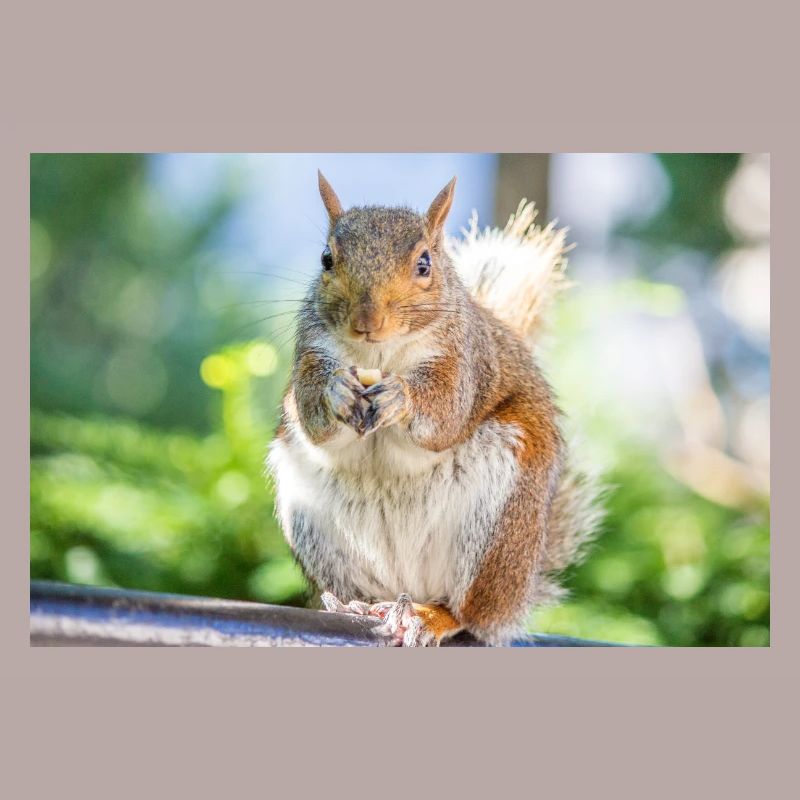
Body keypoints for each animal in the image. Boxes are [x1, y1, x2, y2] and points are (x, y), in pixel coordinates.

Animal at [267, 171, 602, 646]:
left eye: (424, 264)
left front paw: (401, 396)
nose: (367, 322)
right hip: (317, 529)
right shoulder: (311, 351)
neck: (381, 355)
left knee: (468, 612)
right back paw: (358, 605)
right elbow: (313, 419)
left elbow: (445, 414)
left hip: (498, 532)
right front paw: (336, 391)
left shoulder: (465, 363)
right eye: (327, 259)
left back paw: (429, 616)